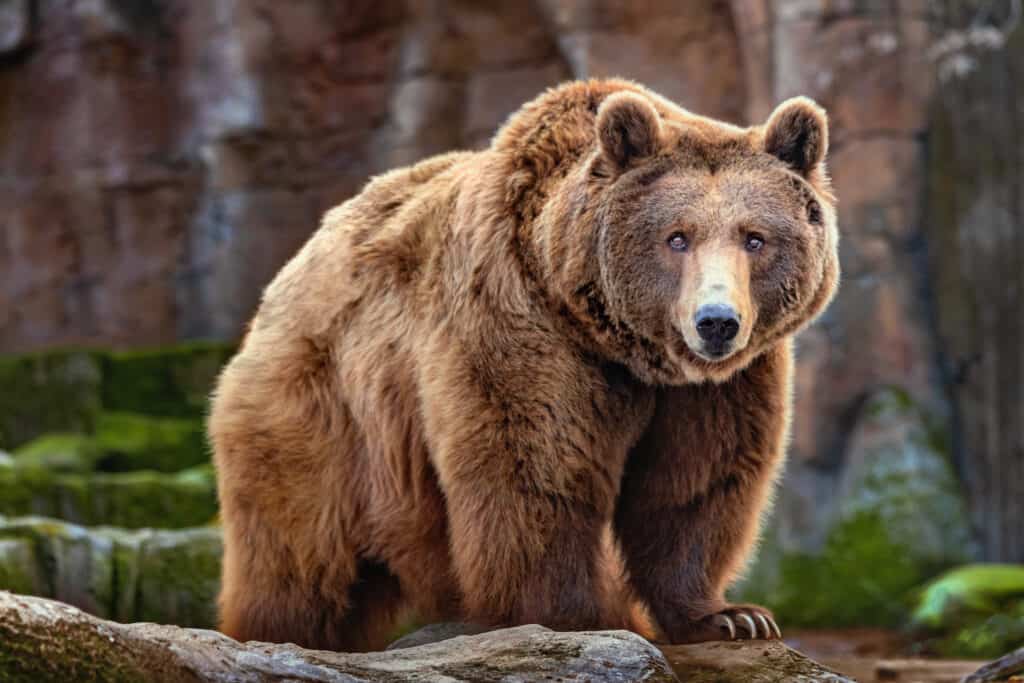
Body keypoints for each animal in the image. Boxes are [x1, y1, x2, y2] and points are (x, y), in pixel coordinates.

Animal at [209, 77, 839, 655]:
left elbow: (696, 485)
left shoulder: (719, 387)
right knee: (300, 553)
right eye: (676, 237)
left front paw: (731, 616)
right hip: (322, 410)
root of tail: (296, 262)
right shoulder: (518, 324)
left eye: (755, 238)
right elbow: (535, 472)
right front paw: (579, 618)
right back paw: (276, 632)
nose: (716, 322)